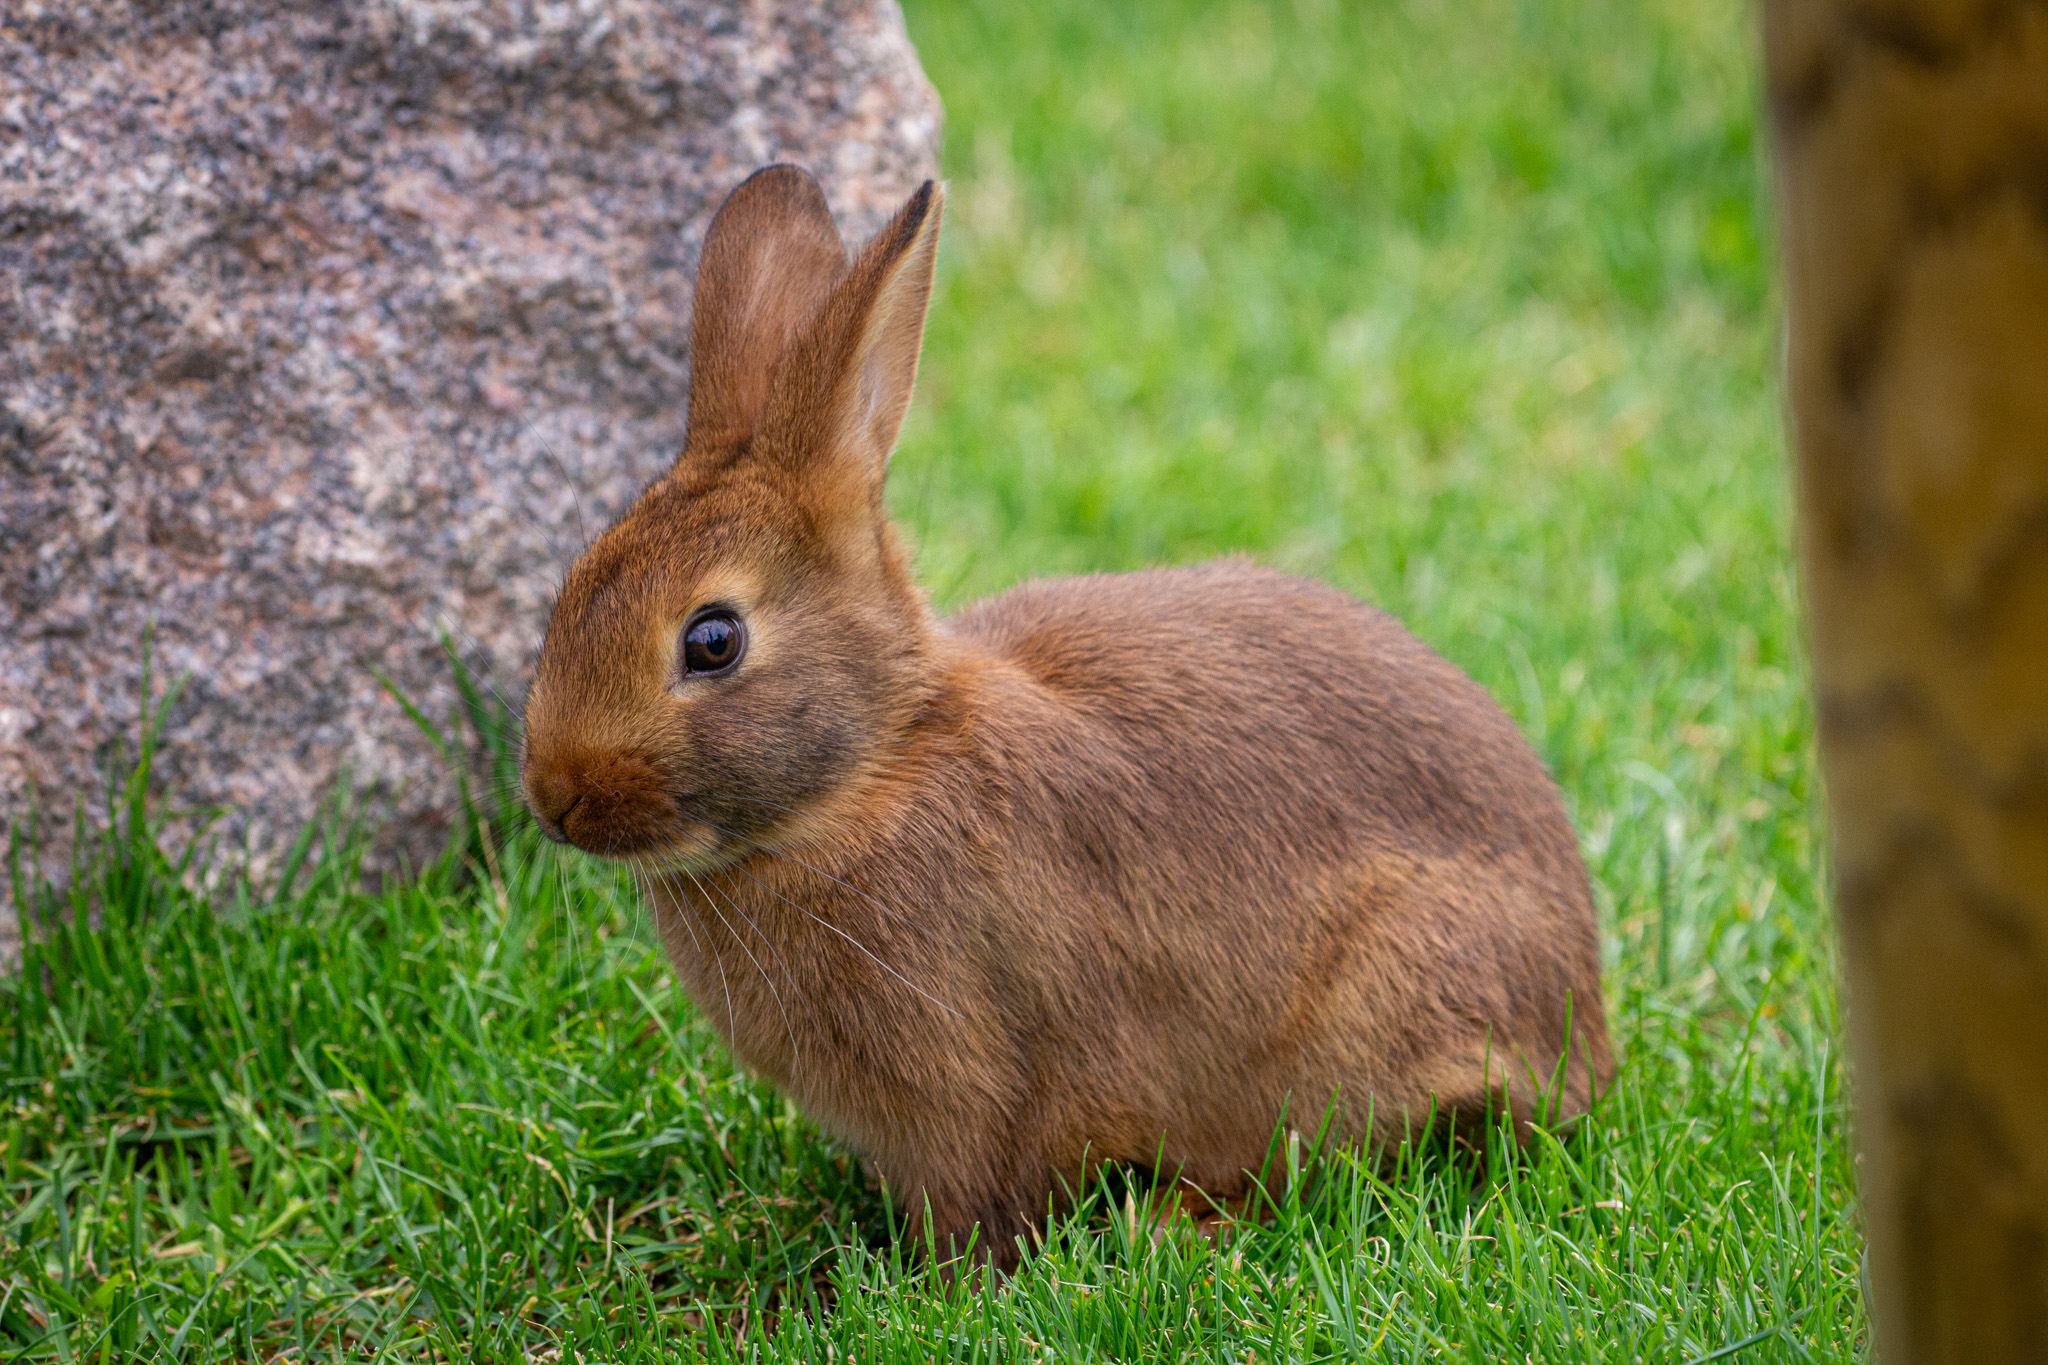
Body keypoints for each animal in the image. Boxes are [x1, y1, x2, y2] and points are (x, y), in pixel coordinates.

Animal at [520, 164, 1613, 1271]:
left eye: (712, 641)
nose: (554, 796)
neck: (874, 771)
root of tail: (1583, 1011)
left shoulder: (977, 1075)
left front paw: (935, 1284)